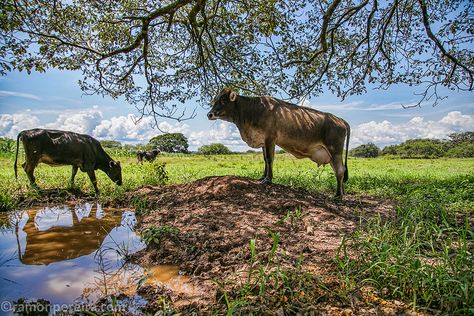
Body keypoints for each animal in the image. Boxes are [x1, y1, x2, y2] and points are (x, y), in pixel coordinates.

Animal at [208, 88, 352, 198]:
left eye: (223, 99)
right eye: (214, 100)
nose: (209, 114)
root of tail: (340, 119)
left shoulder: (270, 138)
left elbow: (269, 159)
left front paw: (268, 180)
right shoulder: (263, 141)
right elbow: (265, 160)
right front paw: (262, 177)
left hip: (335, 150)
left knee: (340, 171)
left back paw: (337, 196)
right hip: (331, 154)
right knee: (339, 171)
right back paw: (342, 193)